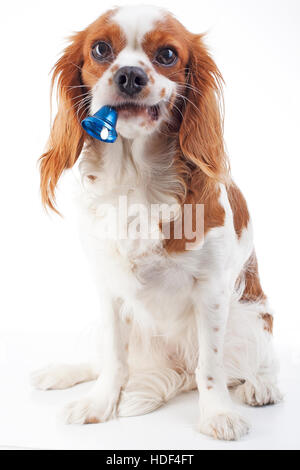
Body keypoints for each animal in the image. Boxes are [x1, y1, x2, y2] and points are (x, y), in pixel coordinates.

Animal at [31, 4, 282, 440]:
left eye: (167, 55)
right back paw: (62, 372)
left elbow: (211, 368)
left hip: (251, 320)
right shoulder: (108, 287)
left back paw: (261, 385)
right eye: (100, 49)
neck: (136, 178)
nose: (130, 75)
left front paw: (217, 414)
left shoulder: (212, 291)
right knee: (104, 359)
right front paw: (99, 403)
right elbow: (114, 359)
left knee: (254, 363)